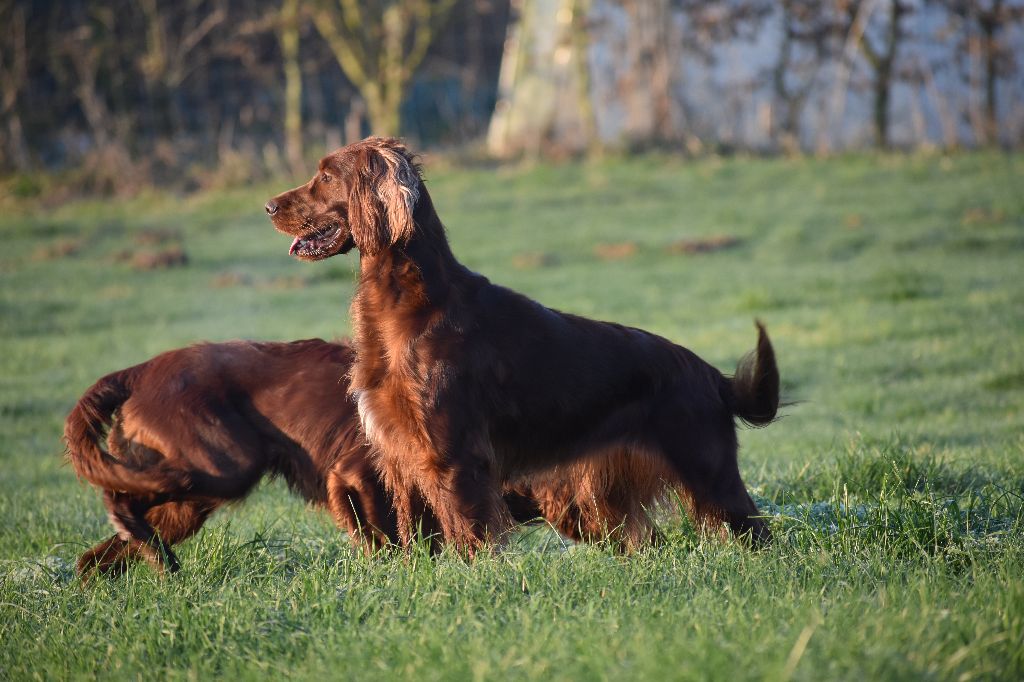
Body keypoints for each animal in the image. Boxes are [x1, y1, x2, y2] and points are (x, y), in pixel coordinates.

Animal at [66, 337, 671, 577]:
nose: (661, 545)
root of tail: (140, 371)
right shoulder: (352, 474)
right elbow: (385, 538)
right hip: (221, 464)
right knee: (119, 496)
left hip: (190, 501)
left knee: (101, 554)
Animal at [268, 137, 778, 552]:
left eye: (326, 175)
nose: (269, 207)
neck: (412, 305)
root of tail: (710, 374)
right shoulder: (398, 453)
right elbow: (416, 536)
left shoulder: (453, 456)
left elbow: (468, 535)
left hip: (709, 470)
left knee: (756, 530)